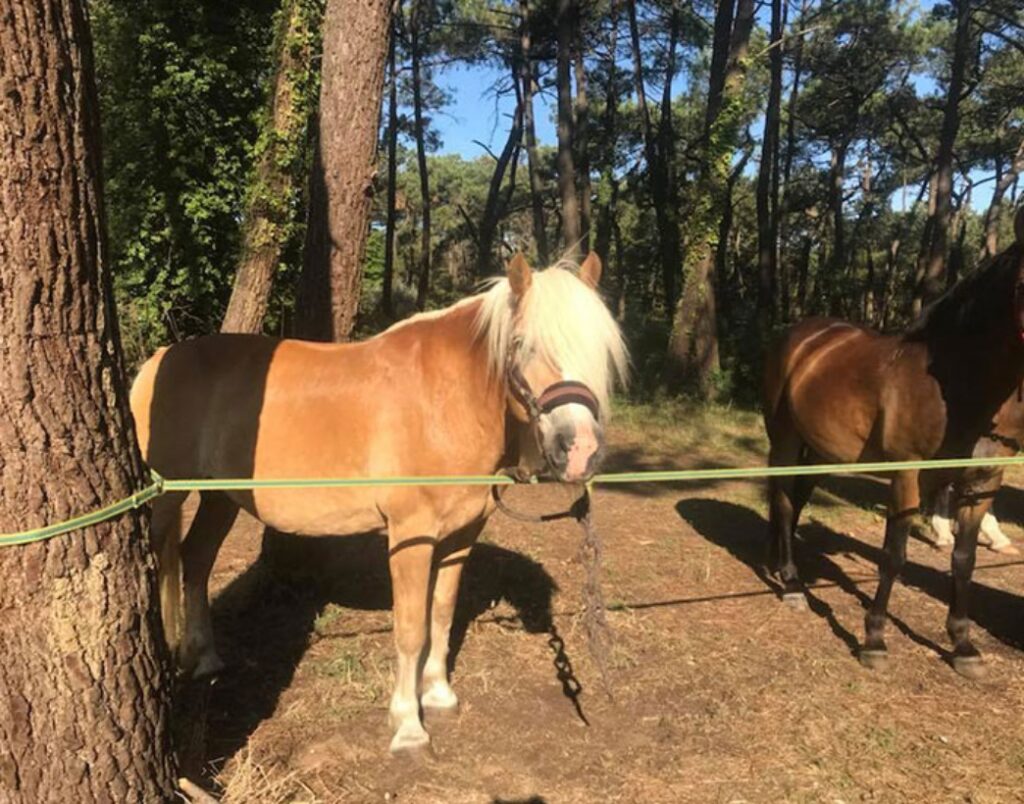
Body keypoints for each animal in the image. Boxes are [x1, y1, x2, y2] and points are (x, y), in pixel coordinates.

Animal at [132, 254, 626, 757]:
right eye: (524, 345)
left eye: (599, 349)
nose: (579, 450)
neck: (444, 401)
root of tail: (156, 362)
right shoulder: (411, 535)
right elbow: (410, 628)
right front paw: (408, 726)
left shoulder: (462, 535)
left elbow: (441, 614)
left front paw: (439, 694)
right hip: (167, 497)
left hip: (220, 497)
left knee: (196, 560)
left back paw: (205, 658)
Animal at [765, 203, 1024, 675]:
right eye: (1022, 284)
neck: (957, 384)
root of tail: (802, 336)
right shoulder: (907, 473)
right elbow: (894, 555)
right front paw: (874, 640)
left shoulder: (982, 484)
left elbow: (964, 560)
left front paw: (963, 645)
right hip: (786, 441)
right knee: (784, 499)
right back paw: (791, 584)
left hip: (822, 452)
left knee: (796, 499)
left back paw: (780, 565)